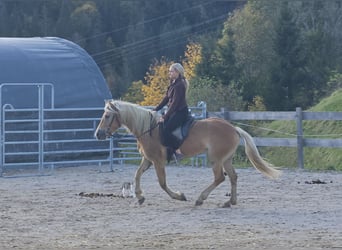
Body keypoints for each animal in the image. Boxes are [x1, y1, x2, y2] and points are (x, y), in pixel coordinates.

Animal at [94, 99, 280, 207]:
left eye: (108, 116)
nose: (98, 134)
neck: (148, 129)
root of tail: (233, 128)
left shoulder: (158, 161)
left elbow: (162, 183)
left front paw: (179, 196)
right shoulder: (148, 159)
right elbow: (137, 175)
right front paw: (139, 196)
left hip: (216, 159)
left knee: (220, 177)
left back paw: (200, 199)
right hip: (226, 159)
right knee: (233, 177)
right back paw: (230, 201)